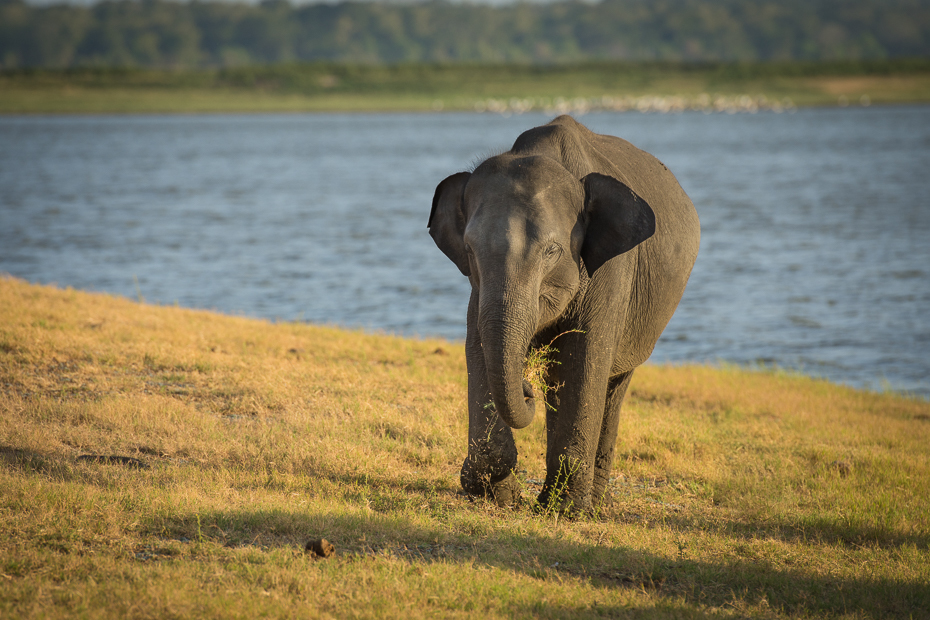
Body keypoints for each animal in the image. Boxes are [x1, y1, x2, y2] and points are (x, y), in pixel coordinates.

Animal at [428, 116, 696, 512]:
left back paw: (591, 503)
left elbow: (582, 358)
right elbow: (478, 347)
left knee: (613, 386)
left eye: (552, 250)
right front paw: (501, 495)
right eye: (469, 249)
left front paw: (564, 510)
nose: (527, 389)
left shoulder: (613, 271)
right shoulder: (479, 289)